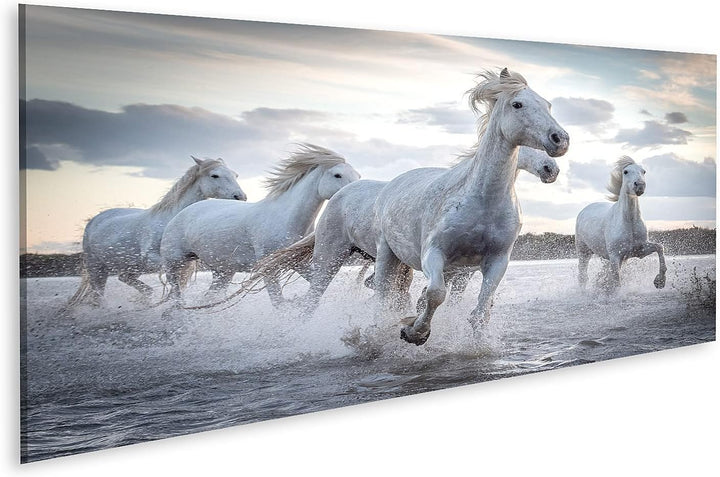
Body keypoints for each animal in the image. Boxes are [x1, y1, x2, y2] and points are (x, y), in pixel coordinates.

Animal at [68, 157, 246, 306]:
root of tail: (94, 220)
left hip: (132, 267)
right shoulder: (155, 258)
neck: (171, 220)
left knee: (127, 280)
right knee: (99, 294)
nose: (241, 197)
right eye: (214, 175)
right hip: (96, 268)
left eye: (235, 175)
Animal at [159, 144, 360, 306]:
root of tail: (180, 214)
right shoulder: (269, 269)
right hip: (174, 265)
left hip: (222, 271)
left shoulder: (298, 263)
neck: (286, 219)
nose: (353, 194)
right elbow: (278, 304)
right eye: (337, 175)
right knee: (176, 298)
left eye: (357, 175)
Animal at [373, 67, 568, 345]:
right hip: (386, 254)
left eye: (547, 105)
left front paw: (477, 345)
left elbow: (480, 311)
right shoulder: (433, 253)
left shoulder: (494, 261)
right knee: (382, 295)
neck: (483, 201)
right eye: (517, 104)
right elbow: (435, 294)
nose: (560, 141)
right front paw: (414, 332)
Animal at [575, 156, 666, 290]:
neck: (629, 223)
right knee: (582, 276)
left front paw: (660, 281)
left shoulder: (639, 250)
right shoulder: (615, 257)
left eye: (643, 171)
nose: (640, 186)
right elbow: (617, 282)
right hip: (584, 252)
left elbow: (660, 247)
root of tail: (584, 210)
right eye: (626, 172)